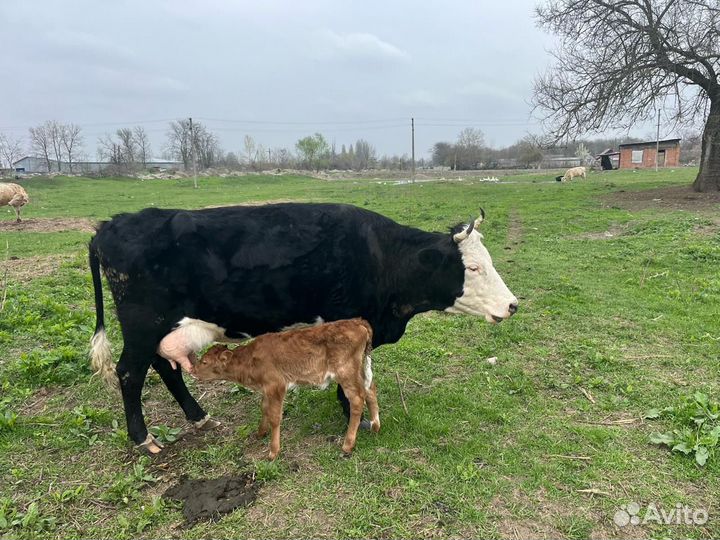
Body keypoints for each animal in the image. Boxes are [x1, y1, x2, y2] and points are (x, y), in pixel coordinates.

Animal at [89, 202, 518, 454]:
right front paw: (352, 418)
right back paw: (143, 438)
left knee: (165, 366)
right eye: (473, 267)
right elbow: (353, 383)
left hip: (161, 329)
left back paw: (198, 416)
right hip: (143, 324)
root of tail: (113, 223)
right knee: (130, 373)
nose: (513, 304)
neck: (381, 258)